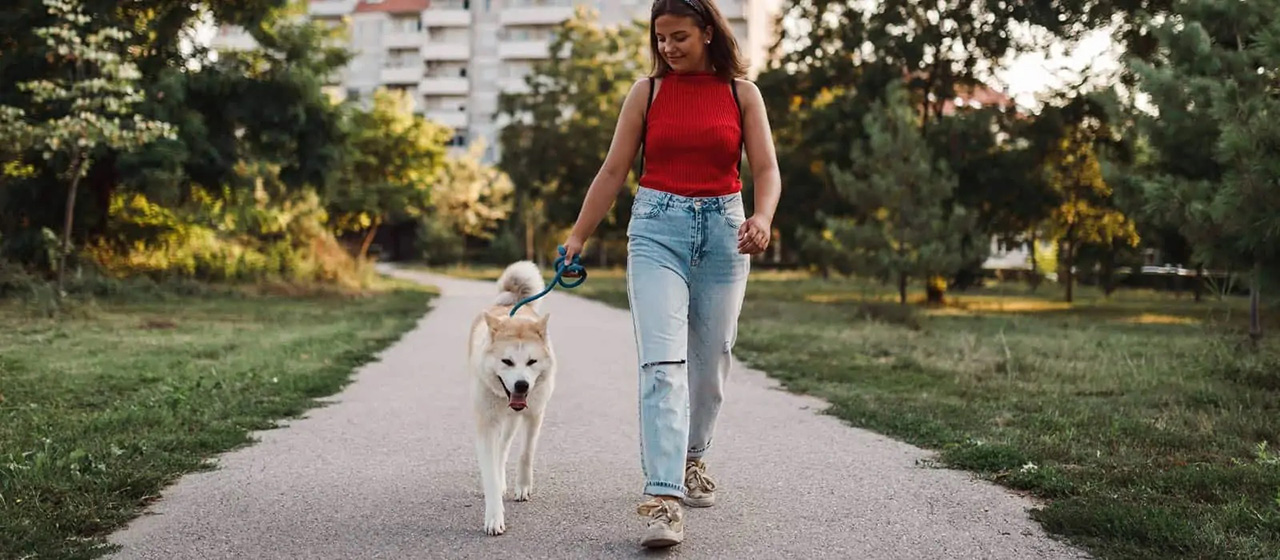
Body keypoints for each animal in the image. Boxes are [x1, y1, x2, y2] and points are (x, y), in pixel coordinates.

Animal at [465, 260, 555, 536]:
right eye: (507, 361)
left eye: (532, 361)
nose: (522, 384)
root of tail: (511, 302)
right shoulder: (486, 425)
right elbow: (491, 475)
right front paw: (494, 517)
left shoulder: (535, 414)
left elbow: (526, 453)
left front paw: (523, 486)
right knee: (499, 453)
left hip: (515, 420)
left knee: (505, 447)